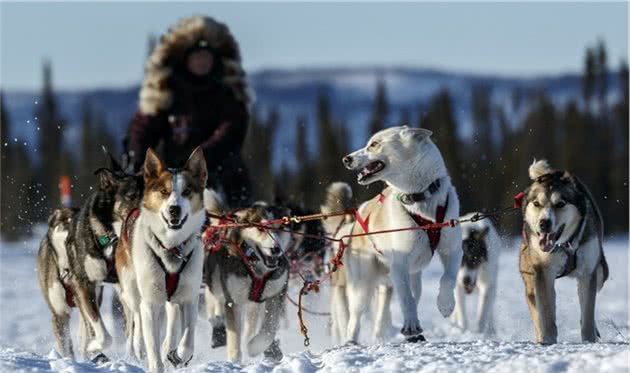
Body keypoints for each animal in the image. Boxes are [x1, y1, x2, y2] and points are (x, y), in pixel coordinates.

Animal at [115, 147, 209, 370]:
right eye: (164, 192)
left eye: (187, 191)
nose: (174, 209)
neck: (172, 247)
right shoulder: (150, 302)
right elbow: (152, 346)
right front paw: (154, 360)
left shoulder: (190, 297)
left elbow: (187, 340)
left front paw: (178, 354)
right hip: (132, 289)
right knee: (137, 319)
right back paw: (138, 347)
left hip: (173, 297)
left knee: (172, 318)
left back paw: (169, 347)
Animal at [202, 192, 292, 360]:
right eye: (261, 228)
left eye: (281, 228)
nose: (276, 249)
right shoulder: (233, 301)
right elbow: (234, 340)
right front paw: (234, 361)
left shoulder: (276, 294)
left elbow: (269, 328)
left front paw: (255, 347)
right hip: (215, 281)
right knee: (213, 298)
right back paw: (217, 325)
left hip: (254, 303)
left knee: (250, 324)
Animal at [326, 126, 464, 342]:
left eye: (374, 144)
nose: (346, 159)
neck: (420, 198)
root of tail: (354, 225)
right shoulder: (400, 263)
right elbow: (406, 299)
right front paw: (411, 326)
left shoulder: (452, 250)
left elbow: (447, 278)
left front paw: (445, 303)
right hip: (362, 286)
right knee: (354, 320)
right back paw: (351, 342)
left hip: (408, 278)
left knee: (410, 297)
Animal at [520, 158, 608, 342]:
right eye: (536, 204)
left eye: (560, 204)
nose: (544, 223)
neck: (565, 244)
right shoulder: (543, 271)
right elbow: (546, 314)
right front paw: (548, 341)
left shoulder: (588, 271)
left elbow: (587, 314)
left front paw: (589, 340)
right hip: (529, 277)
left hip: (601, 271)